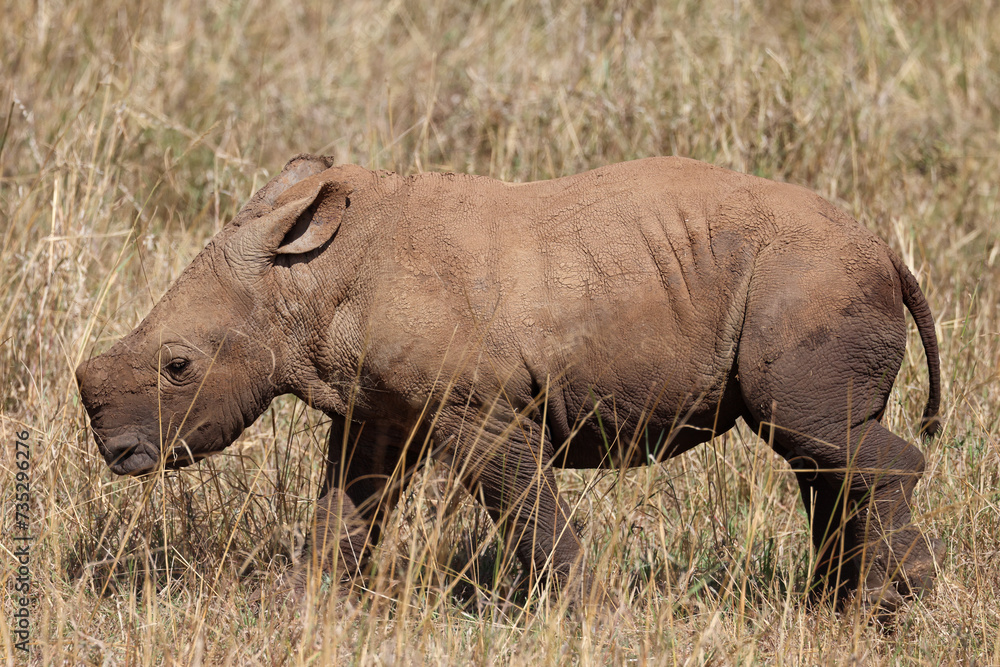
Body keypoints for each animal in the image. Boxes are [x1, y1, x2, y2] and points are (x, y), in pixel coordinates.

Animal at [76, 155, 943, 608]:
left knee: (813, 433)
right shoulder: (376, 411)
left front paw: (588, 612)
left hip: (810, 275)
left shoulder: (480, 409)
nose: (118, 454)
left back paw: (891, 607)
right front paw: (298, 606)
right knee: (817, 449)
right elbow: (345, 508)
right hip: (809, 278)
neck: (305, 279)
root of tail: (887, 250)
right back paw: (833, 607)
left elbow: (526, 508)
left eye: (178, 366)